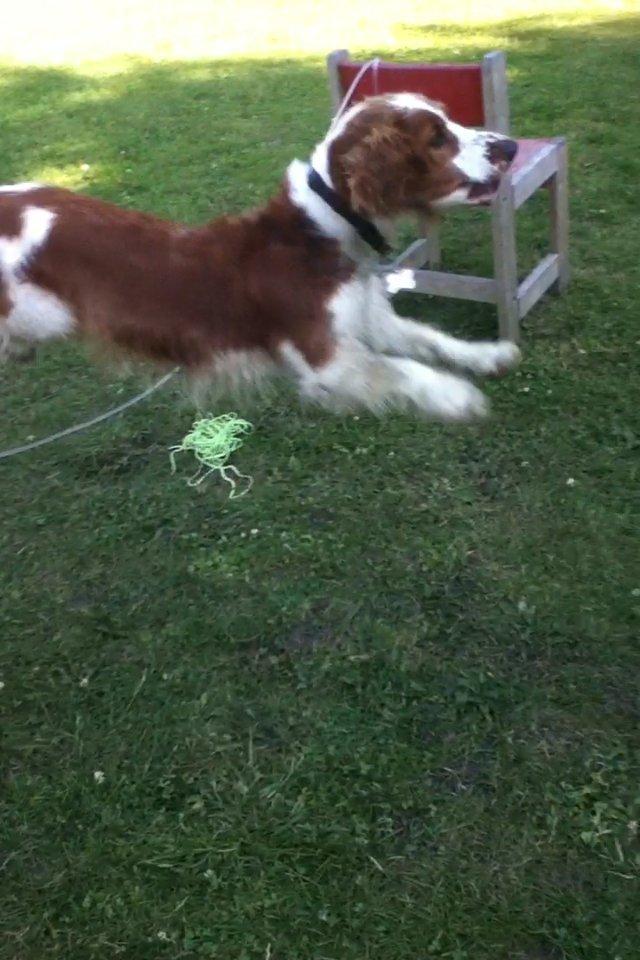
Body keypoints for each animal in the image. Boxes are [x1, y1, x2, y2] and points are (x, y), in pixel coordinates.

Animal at [0, 94, 520, 420]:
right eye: (437, 138)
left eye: (448, 122)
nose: (511, 146)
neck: (320, 229)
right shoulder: (325, 358)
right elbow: (401, 368)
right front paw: (455, 395)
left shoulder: (368, 319)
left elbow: (429, 338)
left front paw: (487, 354)